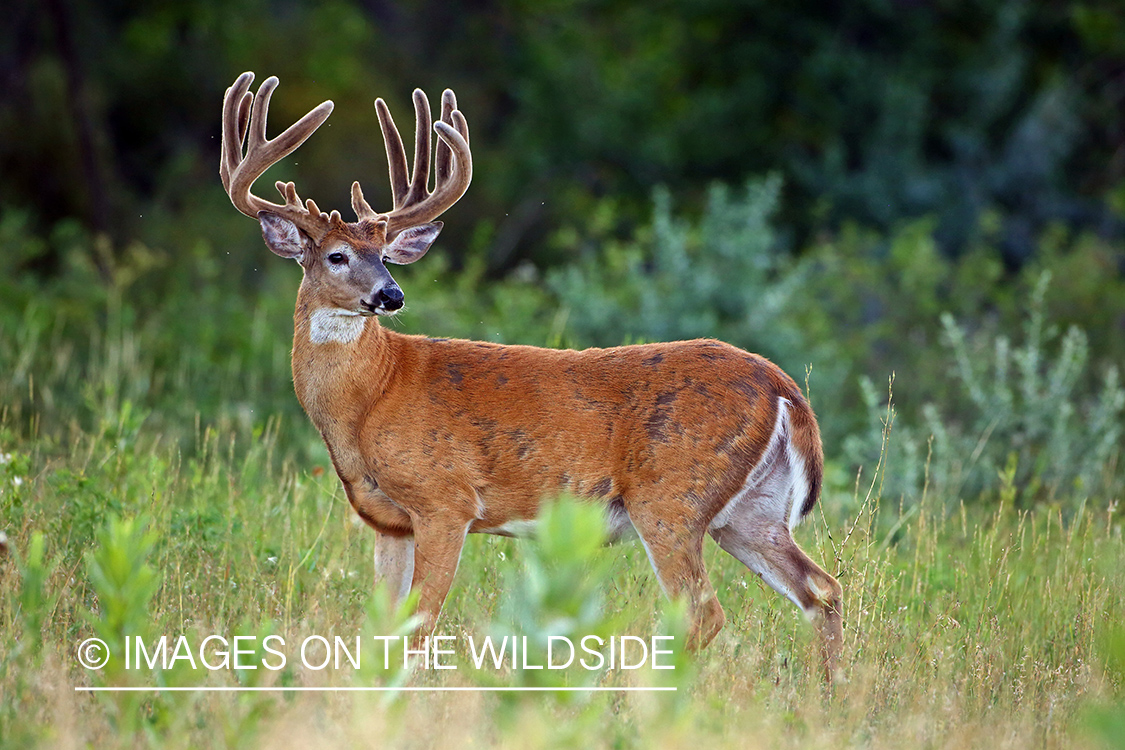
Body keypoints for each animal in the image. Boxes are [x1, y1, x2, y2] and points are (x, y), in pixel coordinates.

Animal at [219, 73, 841, 683]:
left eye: (386, 257)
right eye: (337, 257)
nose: (391, 295)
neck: (370, 399)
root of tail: (785, 389)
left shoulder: (445, 500)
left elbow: (419, 626)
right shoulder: (387, 521)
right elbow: (382, 629)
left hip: (671, 496)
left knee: (704, 611)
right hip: (749, 510)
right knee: (821, 588)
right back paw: (831, 690)